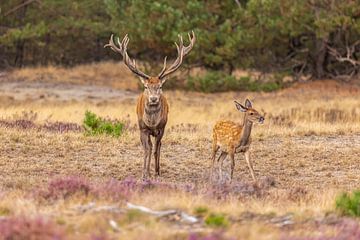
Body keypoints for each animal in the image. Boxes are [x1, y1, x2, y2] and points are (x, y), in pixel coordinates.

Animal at [104, 31, 195, 178]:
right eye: (146, 86)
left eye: (160, 86)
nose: (153, 99)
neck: (152, 123)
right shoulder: (142, 128)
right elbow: (147, 150)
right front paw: (144, 173)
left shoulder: (161, 128)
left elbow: (157, 149)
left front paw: (156, 172)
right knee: (150, 146)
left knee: (158, 146)